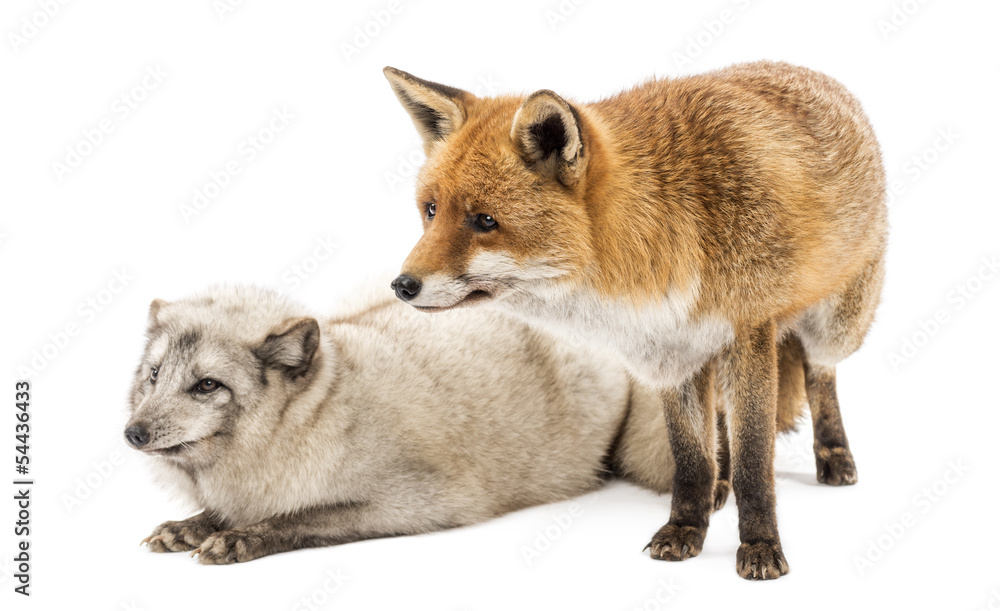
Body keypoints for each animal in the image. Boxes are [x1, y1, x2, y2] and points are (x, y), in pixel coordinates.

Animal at [384, 60, 887, 579]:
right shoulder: (668, 353)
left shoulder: (748, 334)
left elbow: (754, 460)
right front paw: (686, 528)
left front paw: (761, 546)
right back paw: (720, 485)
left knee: (819, 372)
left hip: (837, 324)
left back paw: (834, 454)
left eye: (485, 221)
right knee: (722, 426)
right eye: (431, 211)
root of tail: (807, 71)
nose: (402, 285)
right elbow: (691, 459)